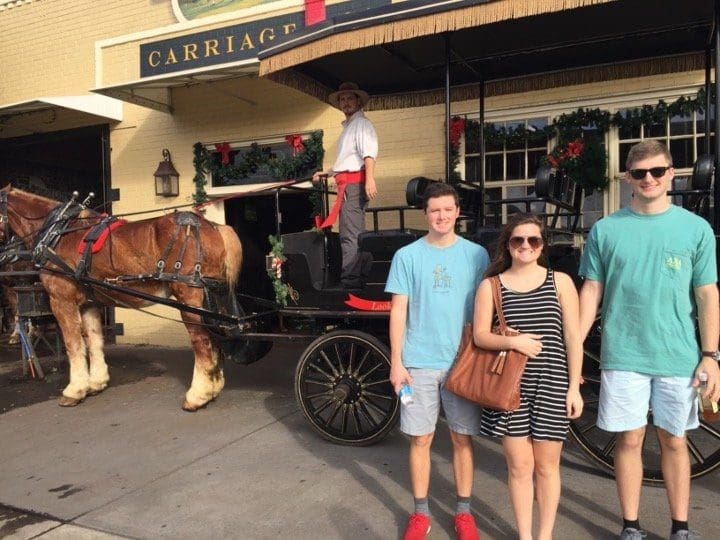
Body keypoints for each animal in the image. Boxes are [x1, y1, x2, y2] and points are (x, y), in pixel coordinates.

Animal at [0, 186, 243, 411]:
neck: (58, 234)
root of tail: (213, 226)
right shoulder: (89, 303)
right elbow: (94, 340)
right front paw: (96, 383)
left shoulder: (62, 301)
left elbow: (73, 345)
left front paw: (74, 391)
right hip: (211, 296)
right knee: (216, 337)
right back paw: (214, 387)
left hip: (190, 297)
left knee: (203, 341)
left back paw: (198, 395)